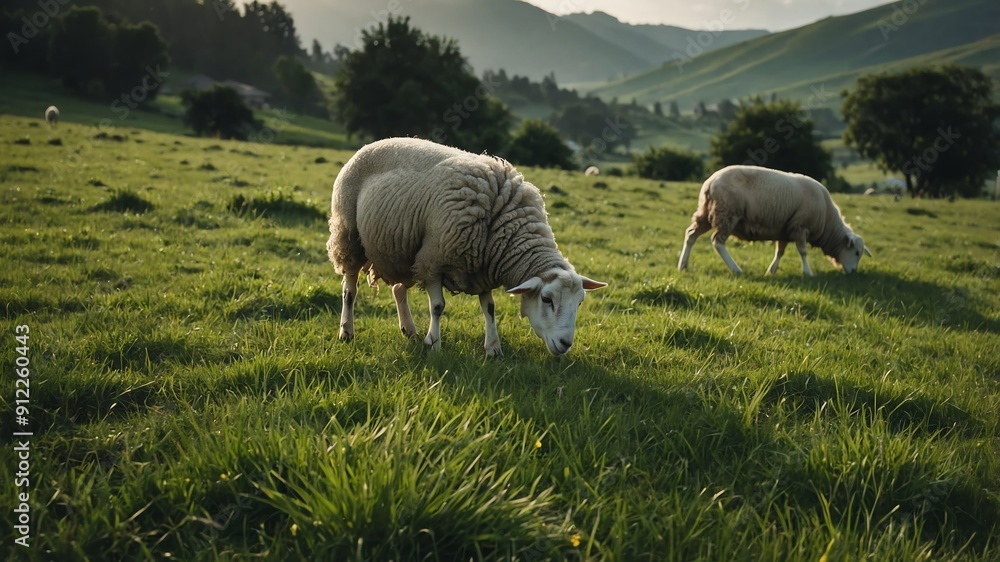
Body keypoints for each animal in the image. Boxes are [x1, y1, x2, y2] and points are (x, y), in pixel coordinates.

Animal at [327, 137, 607, 356]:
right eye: (547, 299)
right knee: (349, 289)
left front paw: (493, 348)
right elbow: (438, 307)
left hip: (403, 251)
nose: (565, 344)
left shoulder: (480, 268)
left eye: (580, 302)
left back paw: (409, 330)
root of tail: (371, 144)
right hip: (349, 236)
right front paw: (434, 343)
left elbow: (490, 309)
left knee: (398, 289)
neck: (499, 223)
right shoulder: (433, 259)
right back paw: (347, 331)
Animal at [677, 165, 871, 276]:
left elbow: (780, 252)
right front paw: (808, 272)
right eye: (856, 252)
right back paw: (736, 269)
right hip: (727, 213)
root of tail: (710, 182)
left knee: (691, 234)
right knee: (717, 242)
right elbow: (803, 252)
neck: (827, 222)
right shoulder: (800, 226)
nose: (853, 272)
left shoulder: (785, 229)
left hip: (707, 213)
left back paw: (683, 266)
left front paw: (772, 271)